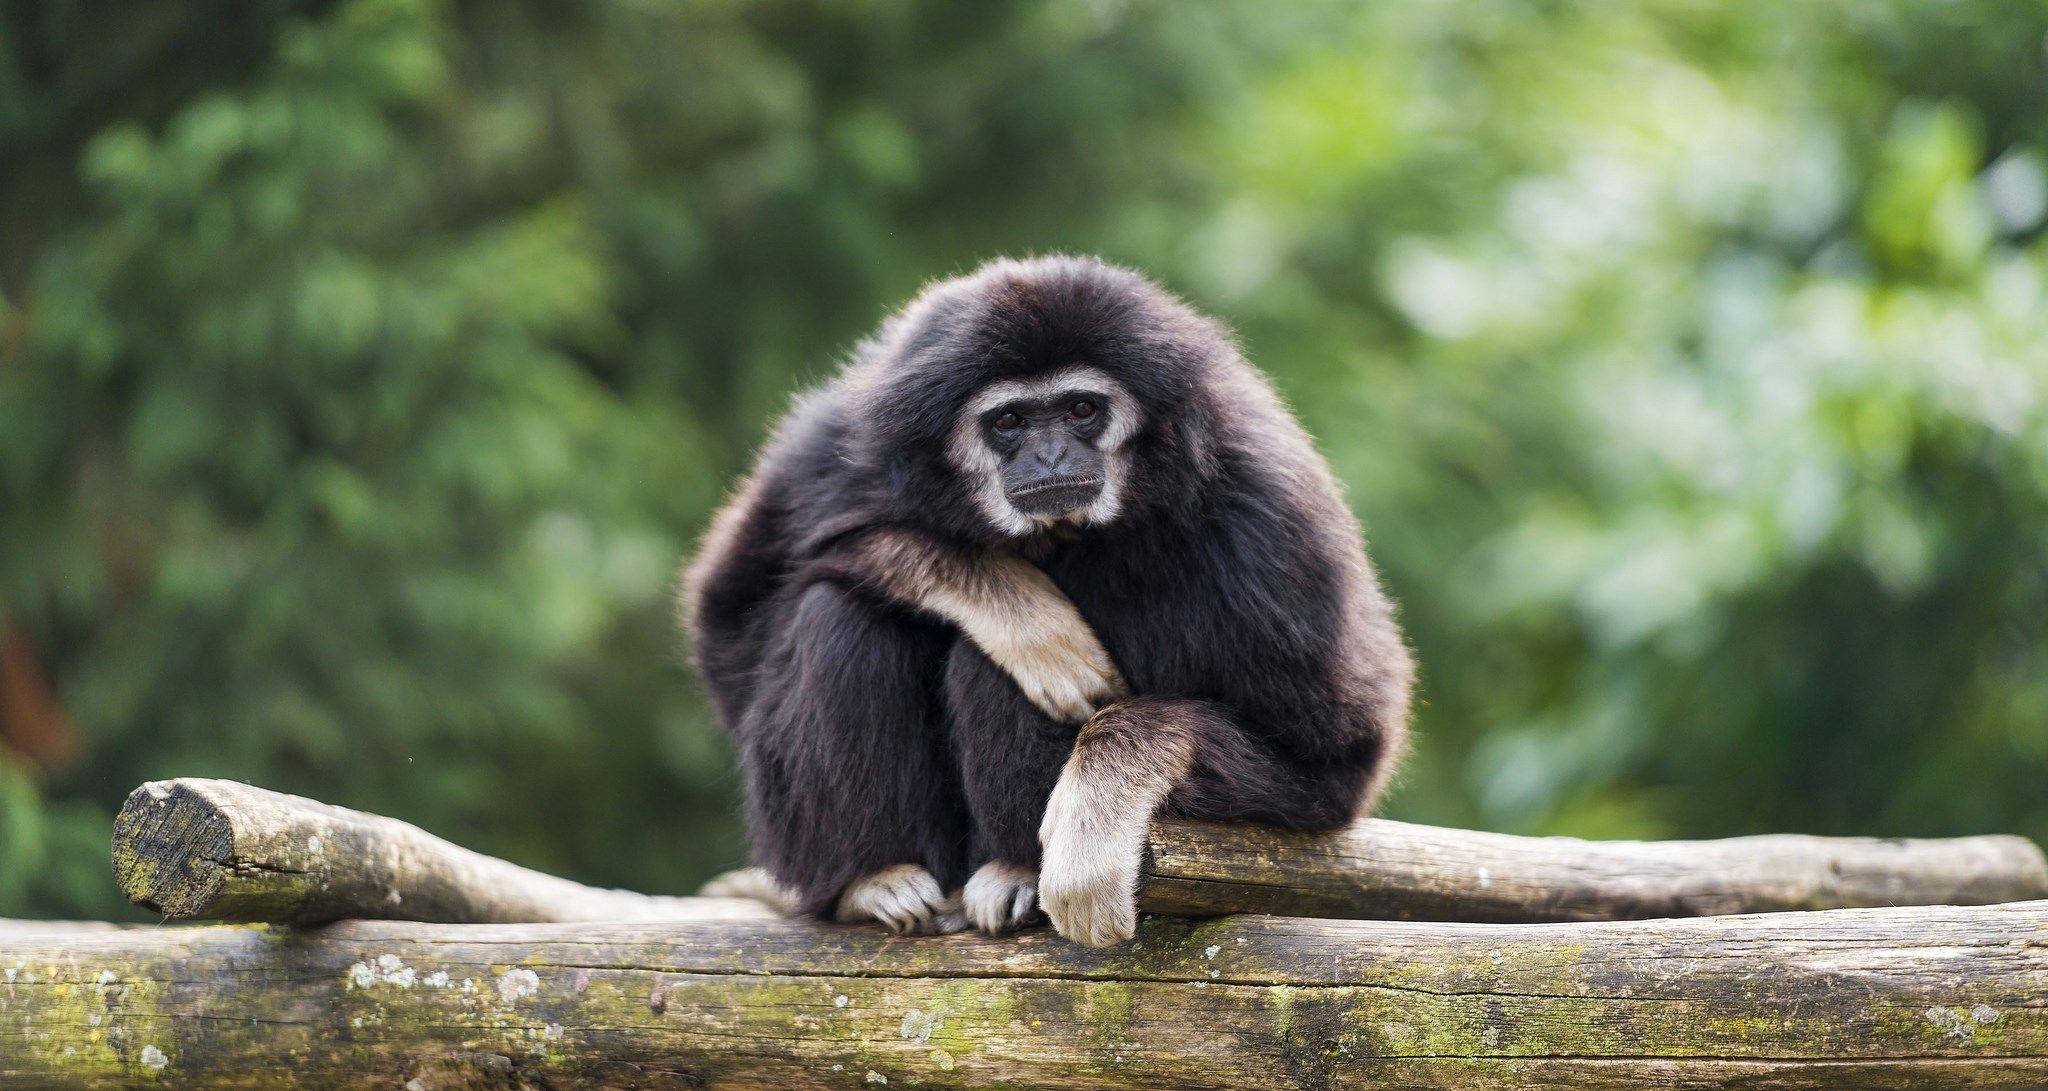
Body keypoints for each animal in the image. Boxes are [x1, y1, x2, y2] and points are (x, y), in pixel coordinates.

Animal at [682, 255, 1413, 946]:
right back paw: (872, 878)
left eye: (1081, 409)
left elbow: (1328, 761)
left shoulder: (1268, 516)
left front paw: (1102, 796)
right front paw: (1023, 612)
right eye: (1009, 420)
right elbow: (733, 620)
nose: (1052, 453)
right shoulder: (834, 441)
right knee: (836, 612)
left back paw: (1013, 870)